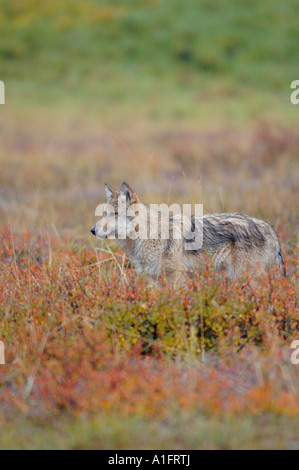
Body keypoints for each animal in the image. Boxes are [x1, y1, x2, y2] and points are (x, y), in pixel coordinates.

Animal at [90, 183, 288, 284]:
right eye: (103, 213)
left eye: (115, 214)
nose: (92, 230)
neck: (147, 235)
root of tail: (268, 226)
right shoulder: (152, 278)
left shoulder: (175, 277)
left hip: (242, 276)